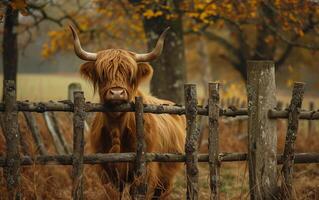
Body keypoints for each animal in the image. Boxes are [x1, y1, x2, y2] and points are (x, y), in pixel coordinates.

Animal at [69, 25, 186, 198]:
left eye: (129, 74)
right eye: (102, 74)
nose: (117, 93)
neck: (117, 128)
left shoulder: (146, 172)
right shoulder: (107, 173)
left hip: (167, 176)